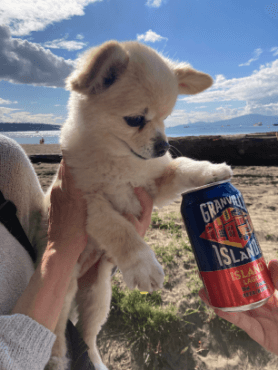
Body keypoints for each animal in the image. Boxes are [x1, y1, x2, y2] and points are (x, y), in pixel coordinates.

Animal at [44, 40, 232, 370]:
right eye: (135, 120)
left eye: (165, 118)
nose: (163, 146)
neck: (120, 161)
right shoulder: (89, 204)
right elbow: (120, 230)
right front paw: (142, 264)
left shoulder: (155, 185)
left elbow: (183, 167)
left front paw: (212, 172)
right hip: (63, 294)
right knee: (58, 336)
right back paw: (56, 360)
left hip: (98, 297)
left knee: (88, 335)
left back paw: (96, 362)